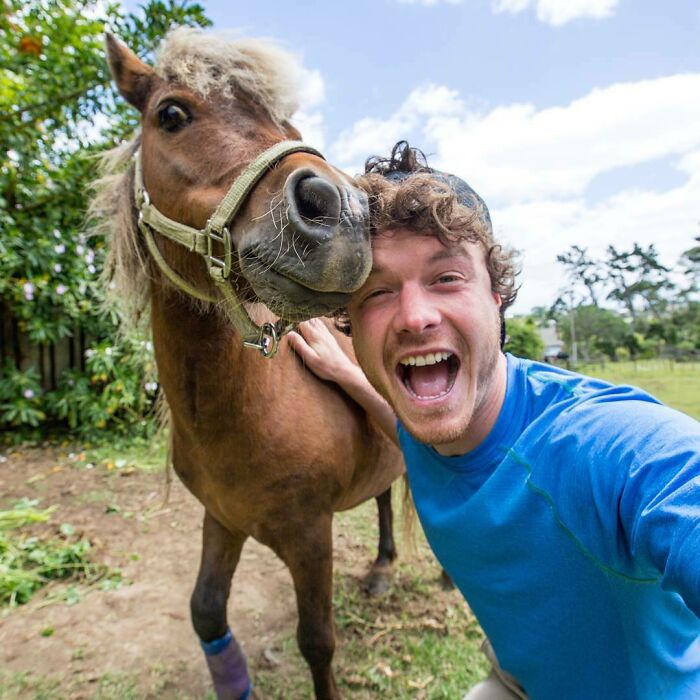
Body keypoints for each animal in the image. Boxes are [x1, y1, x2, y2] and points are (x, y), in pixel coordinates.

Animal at [93, 29, 405, 700]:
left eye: (288, 126)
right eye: (171, 115)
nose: (344, 210)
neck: (238, 419)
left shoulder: (311, 536)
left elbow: (317, 642)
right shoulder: (221, 518)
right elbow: (206, 610)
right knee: (387, 496)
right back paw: (382, 568)